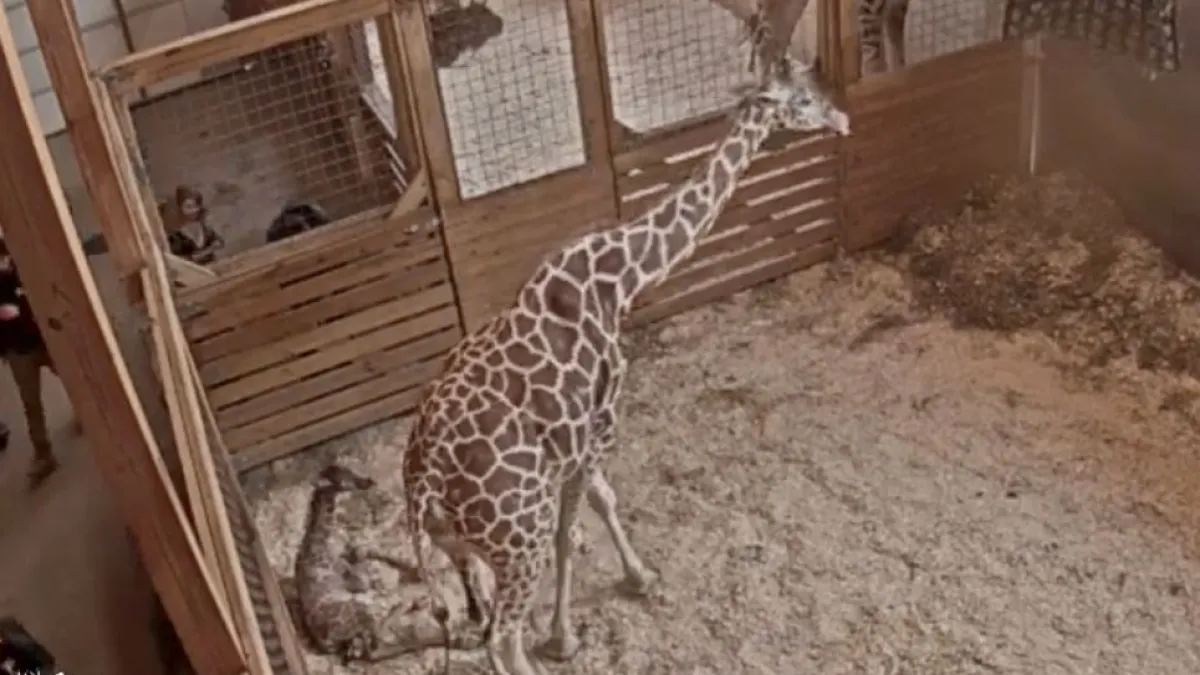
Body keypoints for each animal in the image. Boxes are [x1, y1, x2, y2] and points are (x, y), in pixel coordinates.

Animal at [400, 19, 850, 675]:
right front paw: (576, 629)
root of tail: (422, 485)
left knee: (472, 620)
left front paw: (626, 586)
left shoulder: (578, 445)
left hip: (460, 549)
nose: (841, 117)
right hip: (517, 537)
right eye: (804, 99)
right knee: (501, 635)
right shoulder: (600, 421)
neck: (621, 276)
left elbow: (597, 508)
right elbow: (583, 520)